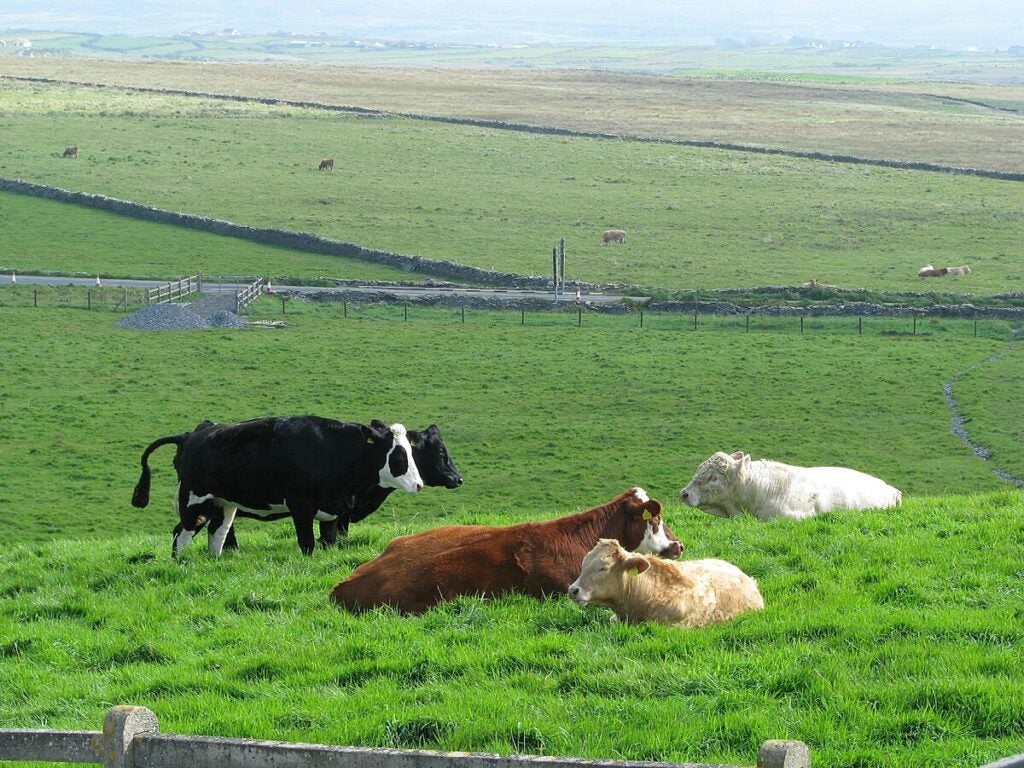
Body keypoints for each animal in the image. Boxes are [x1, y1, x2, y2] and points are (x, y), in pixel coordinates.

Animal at [133, 415, 423, 561]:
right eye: (399, 456)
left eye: (412, 451)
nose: (418, 484)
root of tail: (190, 435)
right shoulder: (300, 504)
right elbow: (307, 542)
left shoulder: (332, 508)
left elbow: (328, 541)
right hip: (194, 501)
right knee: (181, 533)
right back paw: (180, 563)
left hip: (223, 504)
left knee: (217, 534)